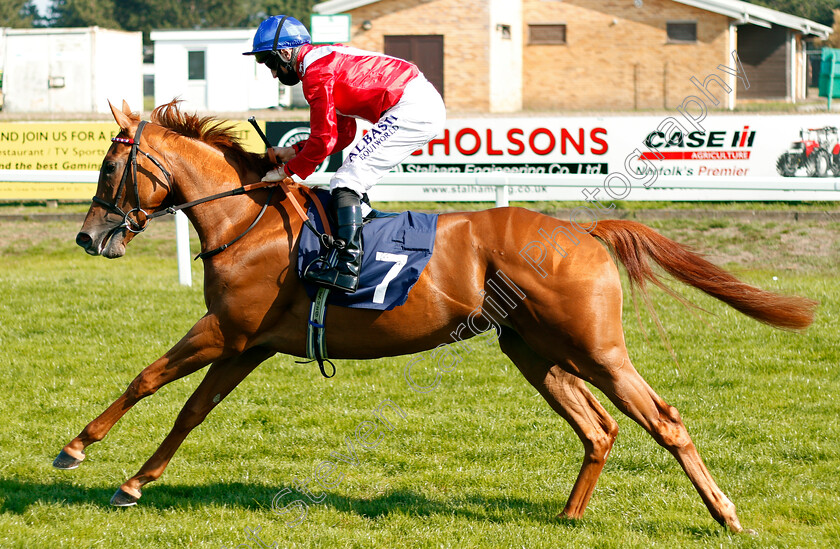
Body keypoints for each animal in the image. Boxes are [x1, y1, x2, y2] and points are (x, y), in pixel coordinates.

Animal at [55, 101, 816, 532]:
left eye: (108, 169)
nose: (89, 238)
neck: (249, 222)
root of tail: (583, 230)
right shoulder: (248, 343)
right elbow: (191, 410)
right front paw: (134, 481)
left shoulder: (225, 331)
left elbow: (146, 378)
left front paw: (76, 447)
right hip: (534, 350)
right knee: (598, 427)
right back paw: (570, 516)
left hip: (594, 347)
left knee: (664, 419)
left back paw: (725, 514)